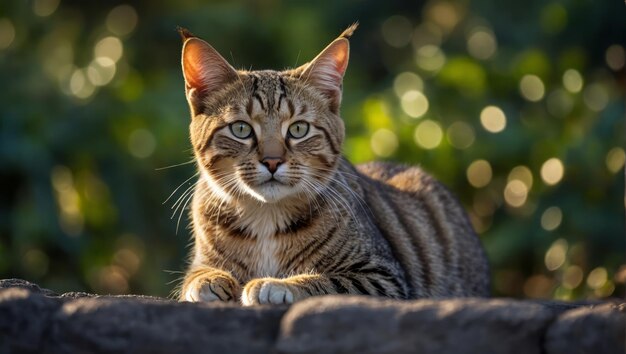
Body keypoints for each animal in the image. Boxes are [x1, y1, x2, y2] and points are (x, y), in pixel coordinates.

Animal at [176, 23, 488, 306]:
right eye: (241, 129)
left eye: (298, 129)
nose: (273, 161)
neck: (265, 215)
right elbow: (194, 276)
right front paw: (209, 280)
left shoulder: (384, 278)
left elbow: (327, 282)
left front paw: (275, 284)